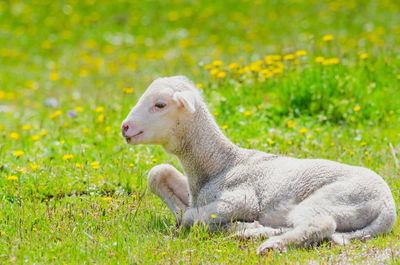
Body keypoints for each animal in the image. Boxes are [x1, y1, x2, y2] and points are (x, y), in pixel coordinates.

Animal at [120, 75, 396, 253]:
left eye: (160, 104)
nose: (125, 127)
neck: (221, 165)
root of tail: (389, 209)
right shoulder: (196, 191)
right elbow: (158, 173)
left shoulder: (240, 198)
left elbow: (191, 217)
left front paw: (206, 222)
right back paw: (255, 232)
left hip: (337, 198)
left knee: (320, 224)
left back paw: (267, 243)